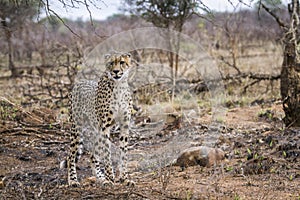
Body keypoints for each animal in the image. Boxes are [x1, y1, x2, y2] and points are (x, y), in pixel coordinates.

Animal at [67, 51, 134, 186]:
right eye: (111, 63)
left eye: (122, 62)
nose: (116, 71)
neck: (119, 86)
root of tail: (79, 83)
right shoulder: (105, 127)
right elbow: (107, 153)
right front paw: (110, 178)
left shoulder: (124, 125)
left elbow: (123, 152)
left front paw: (124, 178)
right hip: (77, 128)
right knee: (70, 156)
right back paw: (73, 180)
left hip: (96, 130)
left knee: (92, 156)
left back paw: (100, 178)